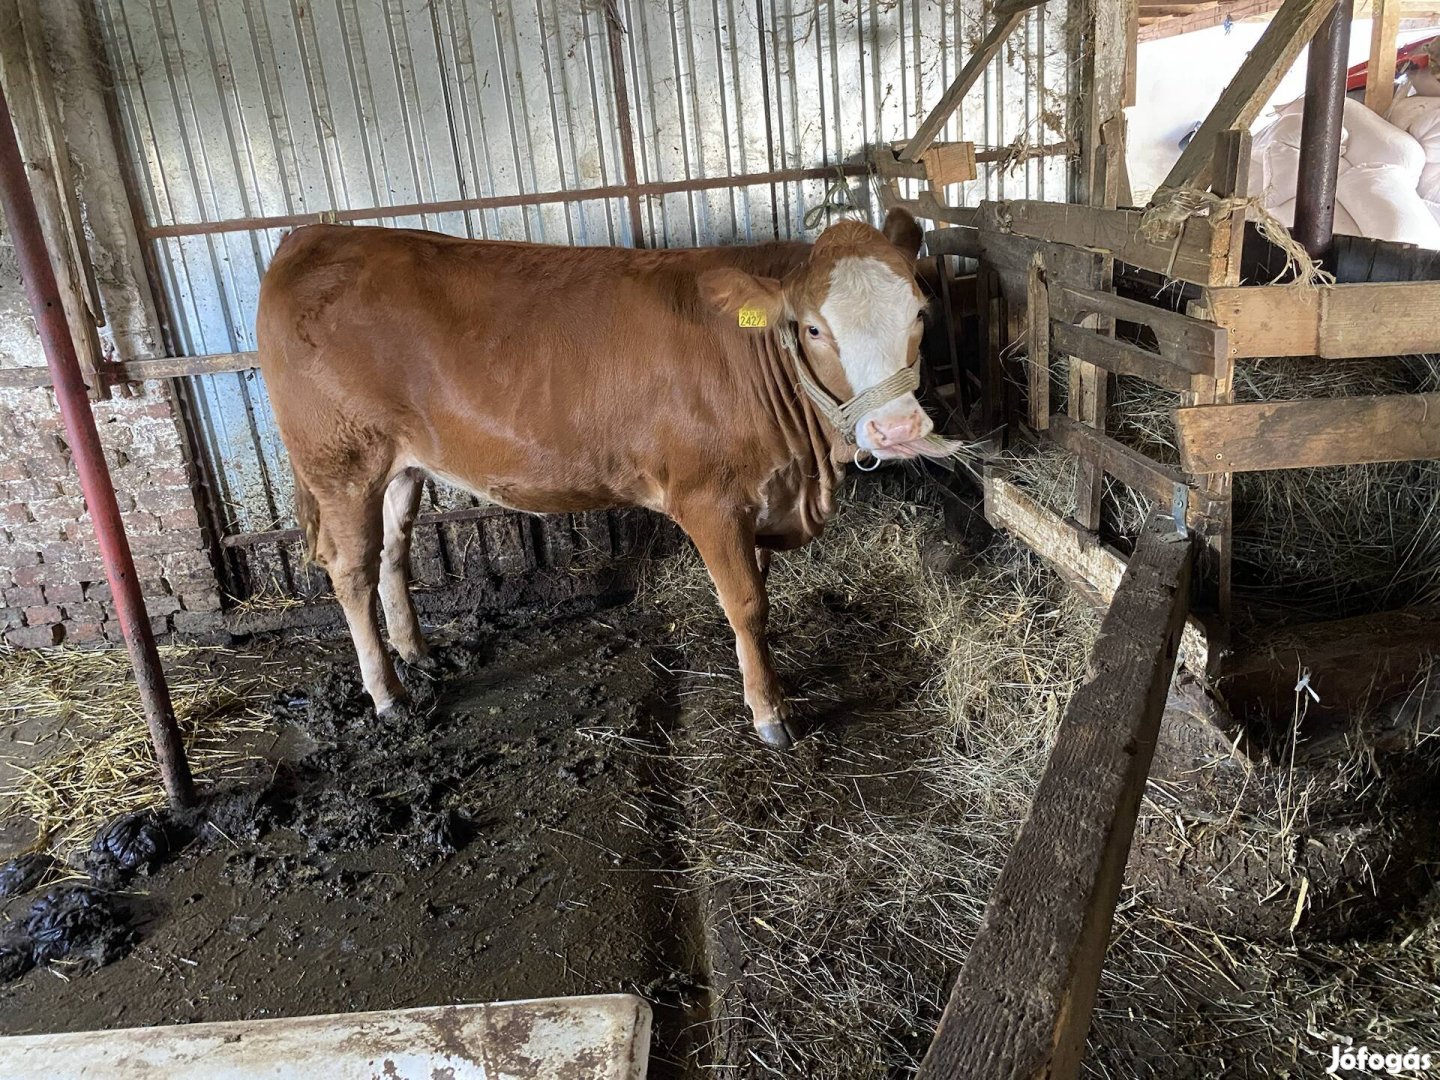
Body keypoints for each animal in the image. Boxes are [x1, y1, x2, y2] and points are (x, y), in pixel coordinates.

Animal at [259, 208, 956, 754]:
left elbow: (761, 593)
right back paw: (389, 696)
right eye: (814, 328)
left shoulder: (763, 493)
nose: (897, 427)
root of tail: (314, 236)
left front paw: (768, 671)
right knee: (351, 570)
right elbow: (746, 603)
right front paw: (769, 712)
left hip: (402, 465)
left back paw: (417, 652)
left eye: (921, 313)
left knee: (393, 554)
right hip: (341, 463)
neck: (805, 470)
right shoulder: (709, 500)